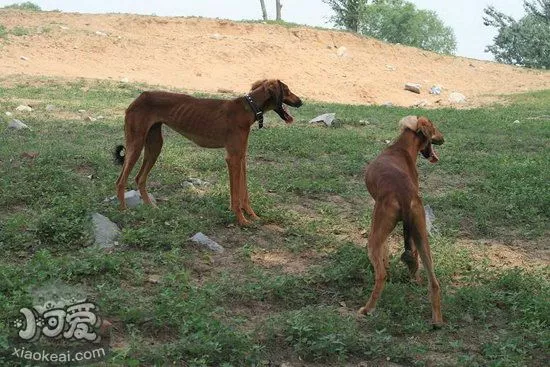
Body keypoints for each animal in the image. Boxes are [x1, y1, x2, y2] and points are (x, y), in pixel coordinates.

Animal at [114, 79, 304, 226]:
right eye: (287, 90)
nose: (301, 102)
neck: (248, 107)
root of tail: (140, 96)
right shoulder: (233, 158)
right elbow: (236, 195)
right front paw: (241, 220)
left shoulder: (241, 157)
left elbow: (244, 192)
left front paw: (252, 215)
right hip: (135, 145)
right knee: (120, 181)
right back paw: (123, 210)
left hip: (154, 147)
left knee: (140, 178)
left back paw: (150, 207)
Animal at [360, 115, 446, 328]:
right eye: (435, 128)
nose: (444, 139)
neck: (401, 147)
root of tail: (404, 194)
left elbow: (384, 252)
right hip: (421, 235)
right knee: (434, 282)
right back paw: (437, 320)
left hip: (374, 238)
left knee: (380, 276)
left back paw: (367, 309)